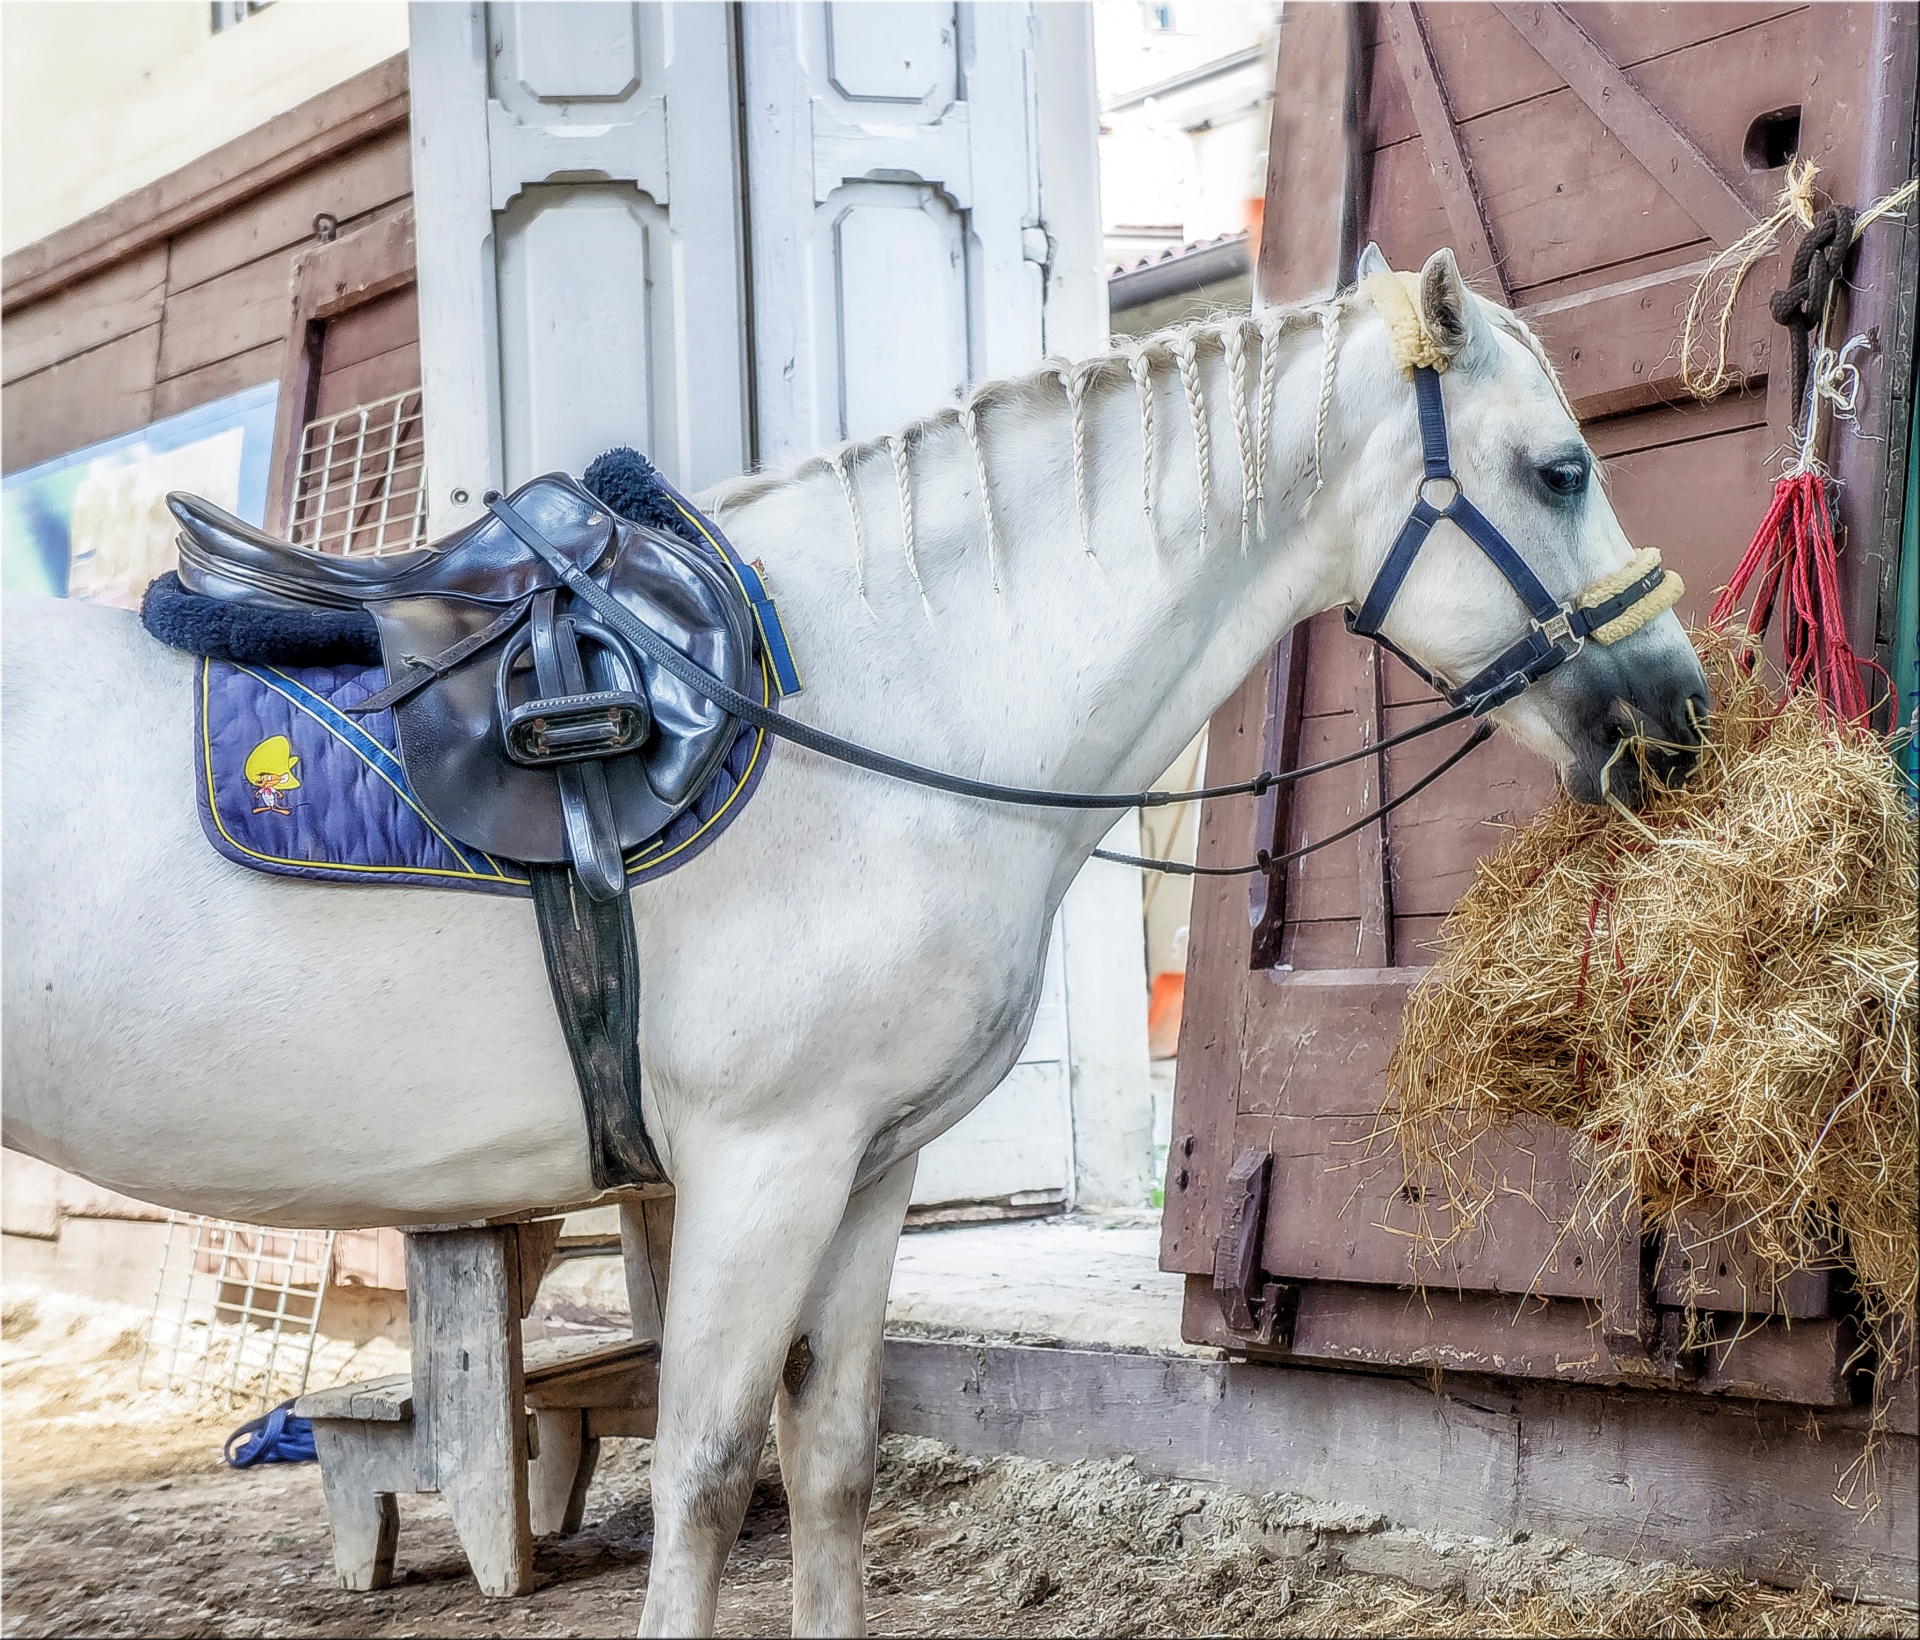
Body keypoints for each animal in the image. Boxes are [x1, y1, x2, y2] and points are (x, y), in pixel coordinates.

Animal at [3, 249, 1712, 1636]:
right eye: (1560, 469)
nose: (1682, 720)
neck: (878, 705)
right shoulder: (759, 1171)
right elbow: (703, 1483)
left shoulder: (867, 1172)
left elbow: (826, 1467)